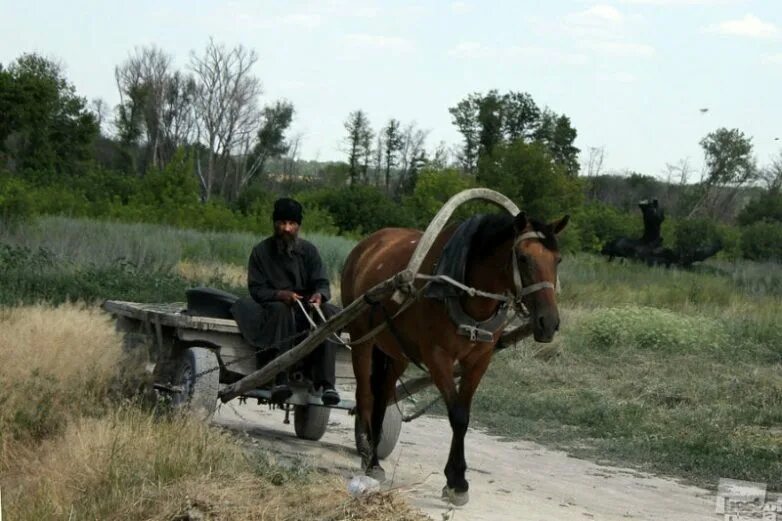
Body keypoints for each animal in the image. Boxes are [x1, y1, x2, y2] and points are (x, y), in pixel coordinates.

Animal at [342, 210, 568, 504]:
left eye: (558, 259)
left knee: (382, 395)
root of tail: (367, 244)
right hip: (362, 338)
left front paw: (455, 478)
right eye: (523, 257)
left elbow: (465, 415)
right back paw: (369, 456)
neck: (462, 287)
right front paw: (457, 481)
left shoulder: (479, 360)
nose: (548, 322)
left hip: (396, 350)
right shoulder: (438, 357)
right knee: (365, 396)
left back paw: (375, 459)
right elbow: (457, 416)